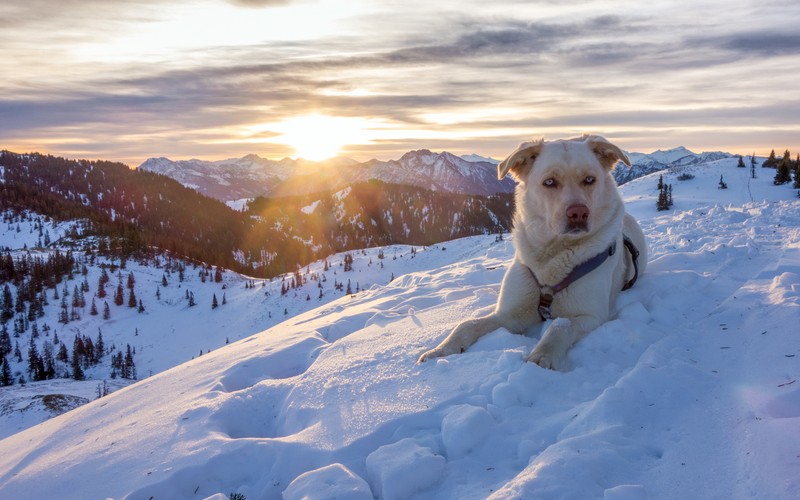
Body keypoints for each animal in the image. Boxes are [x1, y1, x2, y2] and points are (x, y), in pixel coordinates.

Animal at [422, 135, 648, 370]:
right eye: (549, 182)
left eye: (589, 179)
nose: (579, 213)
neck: (552, 257)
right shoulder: (511, 314)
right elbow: (467, 324)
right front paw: (441, 350)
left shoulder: (591, 315)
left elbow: (559, 325)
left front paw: (542, 357)